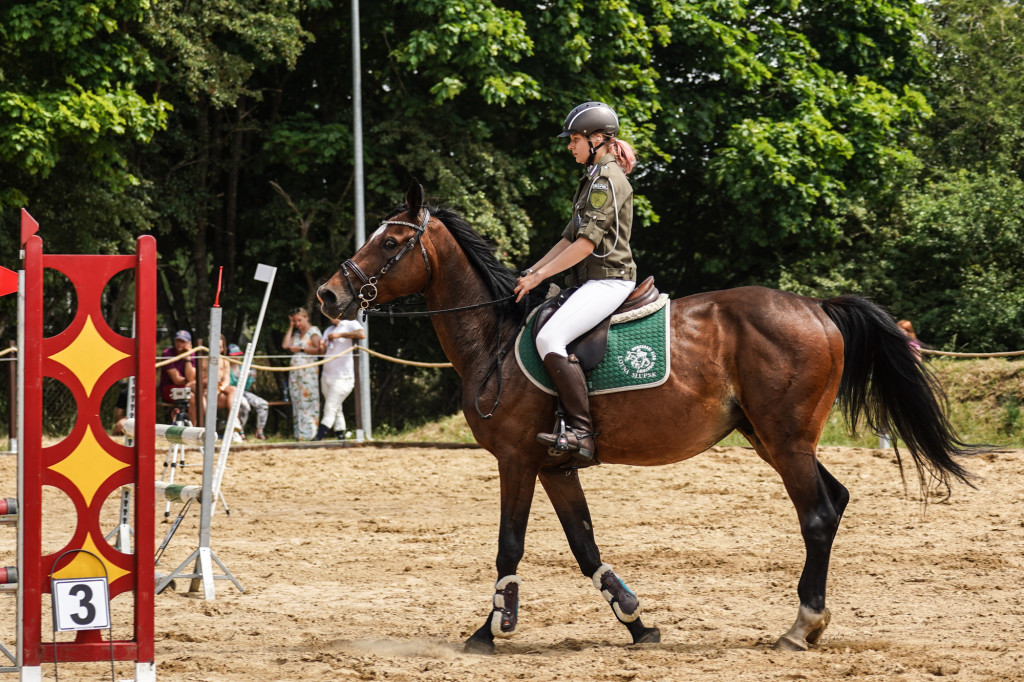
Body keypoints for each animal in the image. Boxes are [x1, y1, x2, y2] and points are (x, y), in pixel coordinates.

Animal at [317, 180, 974, 655]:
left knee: (815, 515)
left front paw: (489, 630)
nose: (328, 296)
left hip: (786, 441)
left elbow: (509, 545)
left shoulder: (517, 459)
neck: (495, 339)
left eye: (389, 244)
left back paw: (799, 626)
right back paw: (810, 622)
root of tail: (816, 308)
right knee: (834, 502)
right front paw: (637, 623)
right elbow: (585, 546)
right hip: (771, 439)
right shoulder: (555, 466)